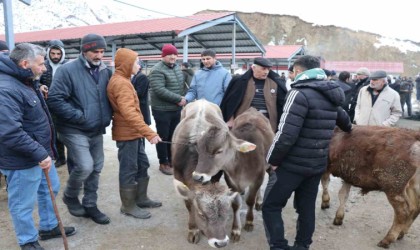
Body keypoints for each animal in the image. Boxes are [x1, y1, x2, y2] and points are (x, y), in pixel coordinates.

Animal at [171, 100, 243, 248]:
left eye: (226, 213)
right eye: (202, 215)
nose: (221, 243)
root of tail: (202, 100)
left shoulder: (214, 174)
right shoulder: (178, 175)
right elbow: (189, 204)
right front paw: (193, 229)